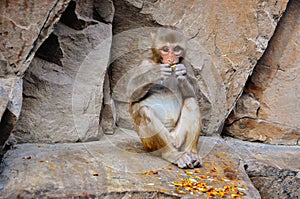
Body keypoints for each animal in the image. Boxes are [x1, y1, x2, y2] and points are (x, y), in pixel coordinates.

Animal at [127, 28, 202, 169]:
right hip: (148, 143)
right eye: (165, 49)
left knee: (191, 102)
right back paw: (172, 154)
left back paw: (192, 153)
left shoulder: (185, 63)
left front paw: (182, 74)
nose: (171, 58)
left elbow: (194, 93)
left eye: (176, 49)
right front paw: (156, 73)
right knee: (145, 111)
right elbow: (131, 93)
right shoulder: (145, 63)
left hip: (178, 137)